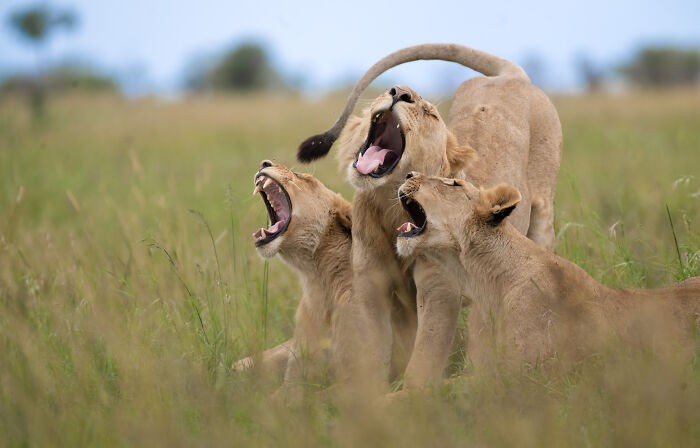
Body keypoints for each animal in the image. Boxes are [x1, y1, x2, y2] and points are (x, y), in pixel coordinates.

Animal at [296, 43, 563, 392]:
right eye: (390, 89)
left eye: (431, 113)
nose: (399, 92)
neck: (390, 207)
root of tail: (510, 77)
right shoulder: (370, 286)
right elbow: (371, 349)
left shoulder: (440, 289)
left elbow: (425, 356)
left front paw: (413, 397)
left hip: (543, 213)